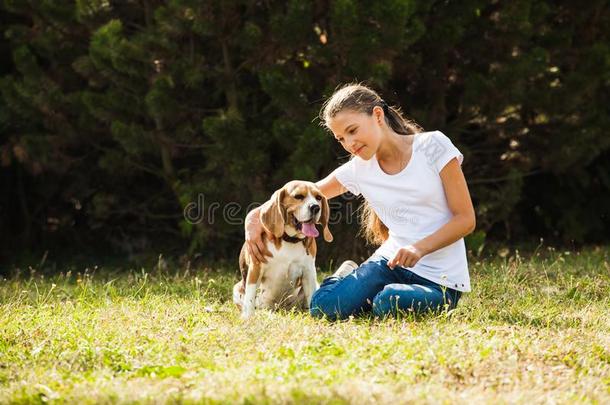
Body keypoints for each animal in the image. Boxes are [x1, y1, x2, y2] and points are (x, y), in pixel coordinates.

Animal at [232, 181, 330, 318]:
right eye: (298, 196)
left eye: (318, 197)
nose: (315, 207)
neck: (289, 239)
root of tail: (280, 310)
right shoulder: (255, 268)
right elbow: (250, 297)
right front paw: (248, 318)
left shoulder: (309, 272)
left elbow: (312, 296)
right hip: (237, 288)